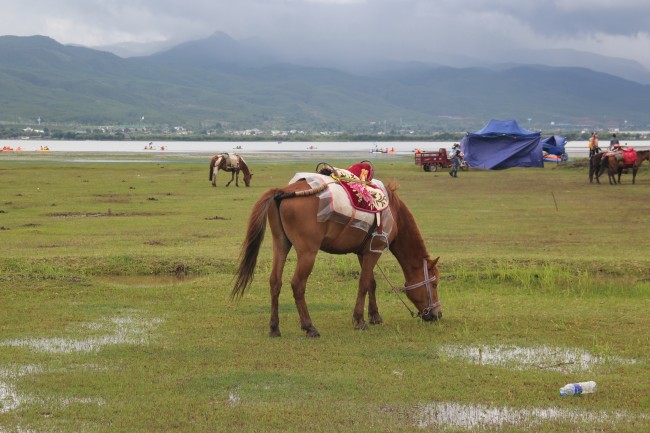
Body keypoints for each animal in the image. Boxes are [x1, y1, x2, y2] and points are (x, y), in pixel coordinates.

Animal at [230, 165, 442, 338]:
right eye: (434, 284)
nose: (437, 314)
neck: (394, 213)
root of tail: (283, 191)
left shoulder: (363, 252)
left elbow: (371, 283)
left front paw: (374, 315)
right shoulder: (374, 251)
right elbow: (363, 284)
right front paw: (359, 320)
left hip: (281, 244)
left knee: (275, 281)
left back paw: (274, 328)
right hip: (308, 252)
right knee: (297, 284)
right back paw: (309, 327)